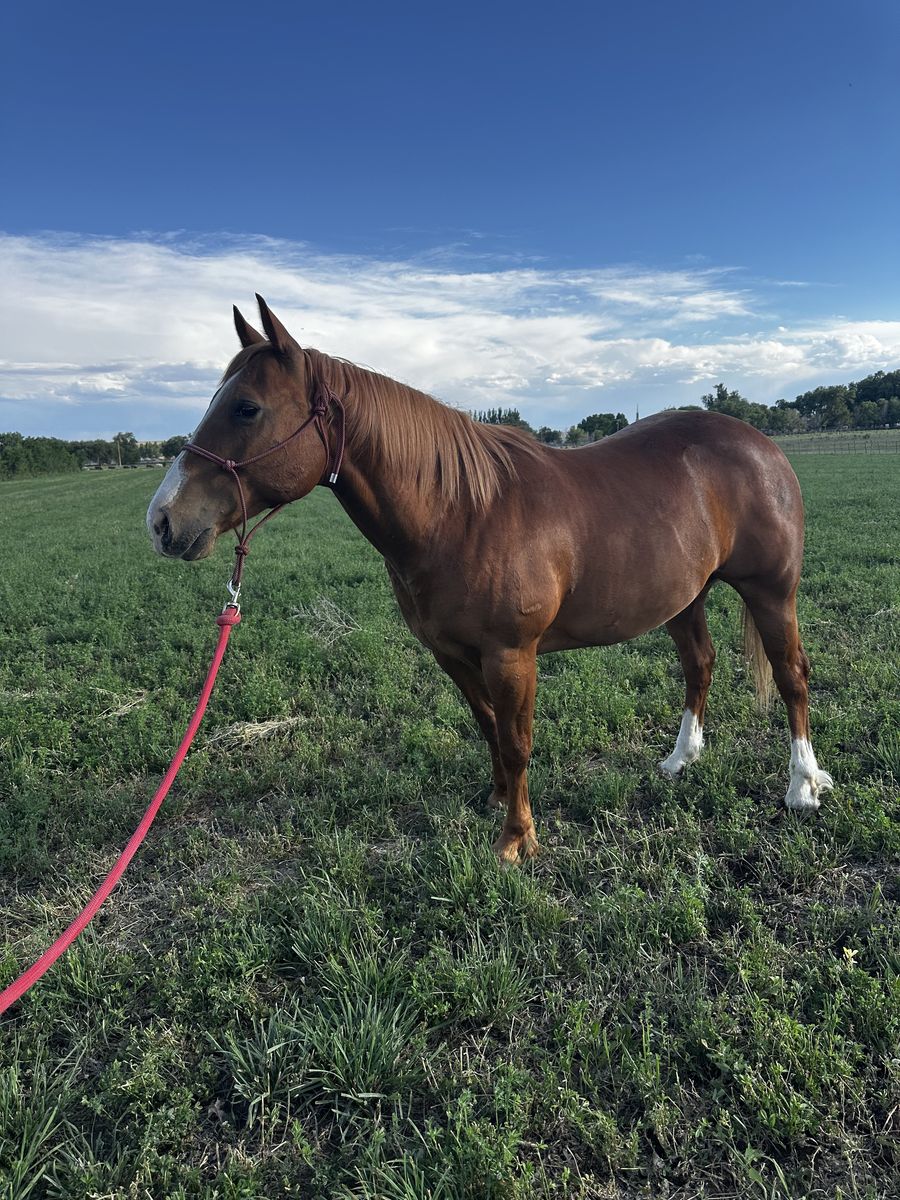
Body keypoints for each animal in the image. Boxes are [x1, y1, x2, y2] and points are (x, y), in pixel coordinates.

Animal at [147, 296, 832, 864]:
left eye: (247, 408)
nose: (163, 520)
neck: (461, 513)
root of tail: (761, 444)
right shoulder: (452, 653)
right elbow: (489, 729)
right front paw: (499, 801)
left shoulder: (511, 655)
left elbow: (518, 740)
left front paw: (516, 840)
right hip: (685, 596)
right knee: (700, 665)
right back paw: (679, 760)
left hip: (773, 592)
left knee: (792, 676)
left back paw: (803, 785)